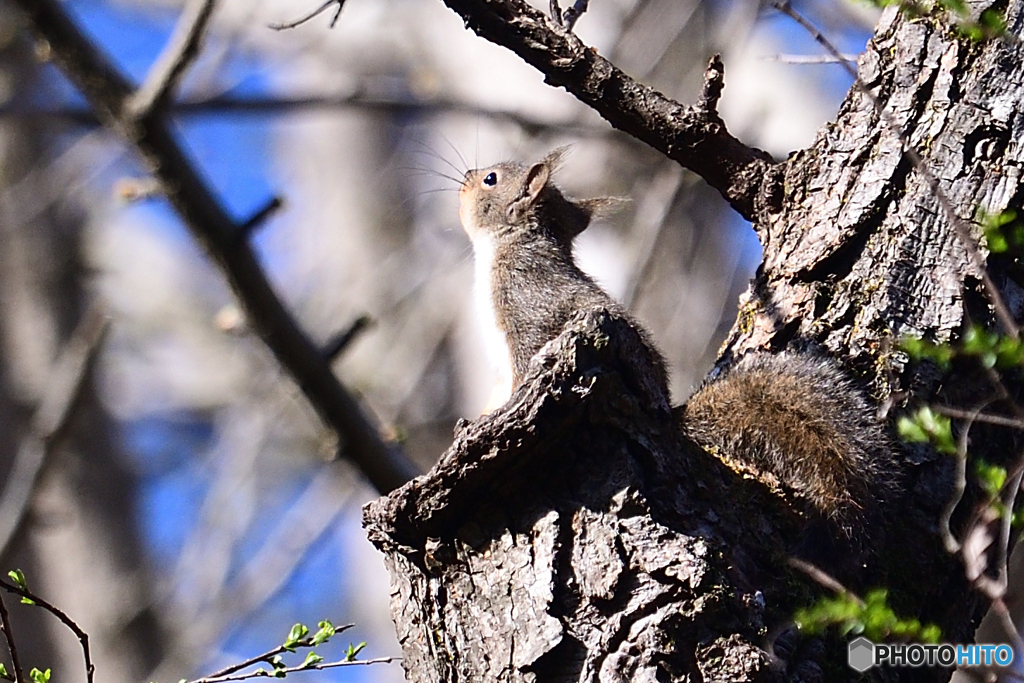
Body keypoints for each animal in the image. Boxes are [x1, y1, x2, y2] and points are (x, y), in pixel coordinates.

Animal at [460, 148, 892, 524]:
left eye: (490, 179)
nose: (464, 178)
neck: (504, 247)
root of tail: (670, 418)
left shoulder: (530, 312)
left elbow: (523, 368)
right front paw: (481, 417)